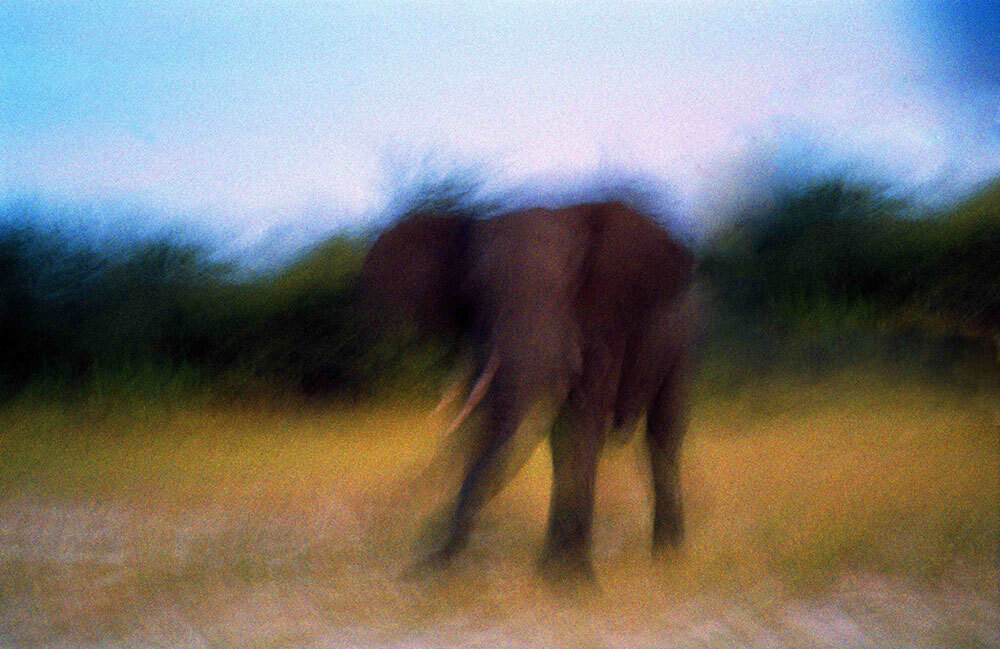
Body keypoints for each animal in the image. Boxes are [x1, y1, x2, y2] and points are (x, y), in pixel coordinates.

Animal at [364, 200, 700, 580]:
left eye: (569, 285)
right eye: (474, 290)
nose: (421, 564)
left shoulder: (603, 323)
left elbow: (579, 425)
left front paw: (573, 581)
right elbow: (495, 424)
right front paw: (555, 573)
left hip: (685, 336)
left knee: (664, 431)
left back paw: (668, 557)